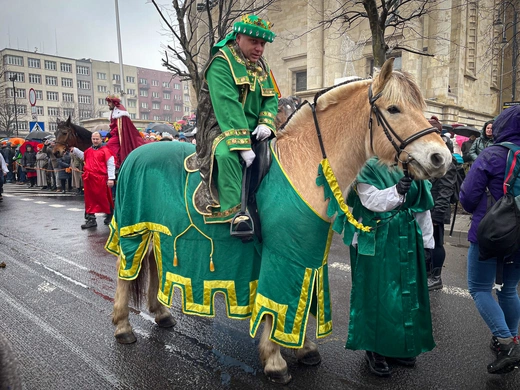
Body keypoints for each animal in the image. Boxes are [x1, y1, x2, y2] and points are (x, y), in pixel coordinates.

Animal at [108, 58, 450, 384]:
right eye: (394, 109)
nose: (441, 158)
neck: (305, 165)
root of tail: (136, 153)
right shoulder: (285, 256)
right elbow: (278, 303)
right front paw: (275, 361)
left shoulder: (310, 257)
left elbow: (303, 302)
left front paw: (304, 349)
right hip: (133, 229)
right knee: (126, 271)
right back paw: (123, 327)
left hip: (158, 231)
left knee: (154, 264)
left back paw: (161, 313)